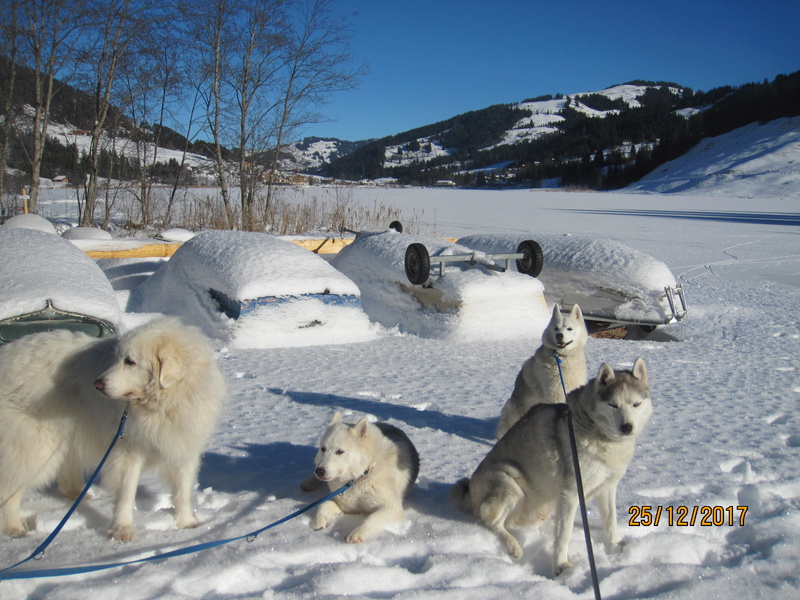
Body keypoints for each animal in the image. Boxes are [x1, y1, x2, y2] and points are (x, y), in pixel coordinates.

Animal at [0, 318, 225, 544]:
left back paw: (78, 495)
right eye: (117, 359)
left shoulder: (184, 446)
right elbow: (126, 493)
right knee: (9, 491)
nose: (97, 384)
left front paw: (186, 523)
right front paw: (122, 530)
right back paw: (14, 528)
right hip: (35, 448)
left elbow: (182, 490)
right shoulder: (126, 450)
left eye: (130, 362)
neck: (164, 405)